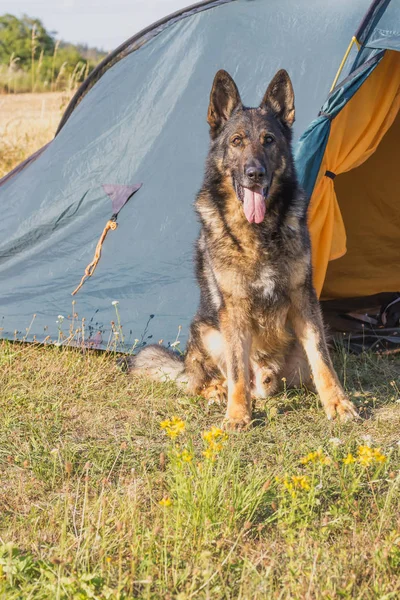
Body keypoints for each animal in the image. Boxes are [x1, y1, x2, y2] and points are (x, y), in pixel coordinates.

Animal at [123, 69, 358, 426]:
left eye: (269, 140)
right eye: (237, 141)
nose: (254, 174)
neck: (259, 233)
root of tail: (265, 378)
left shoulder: (304, 300)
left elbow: (322, 360)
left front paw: (337, 403)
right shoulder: (233, 310)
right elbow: (235, 368)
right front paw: (237, 415)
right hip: (208, 330)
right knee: (203, 378)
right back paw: (218, 391)